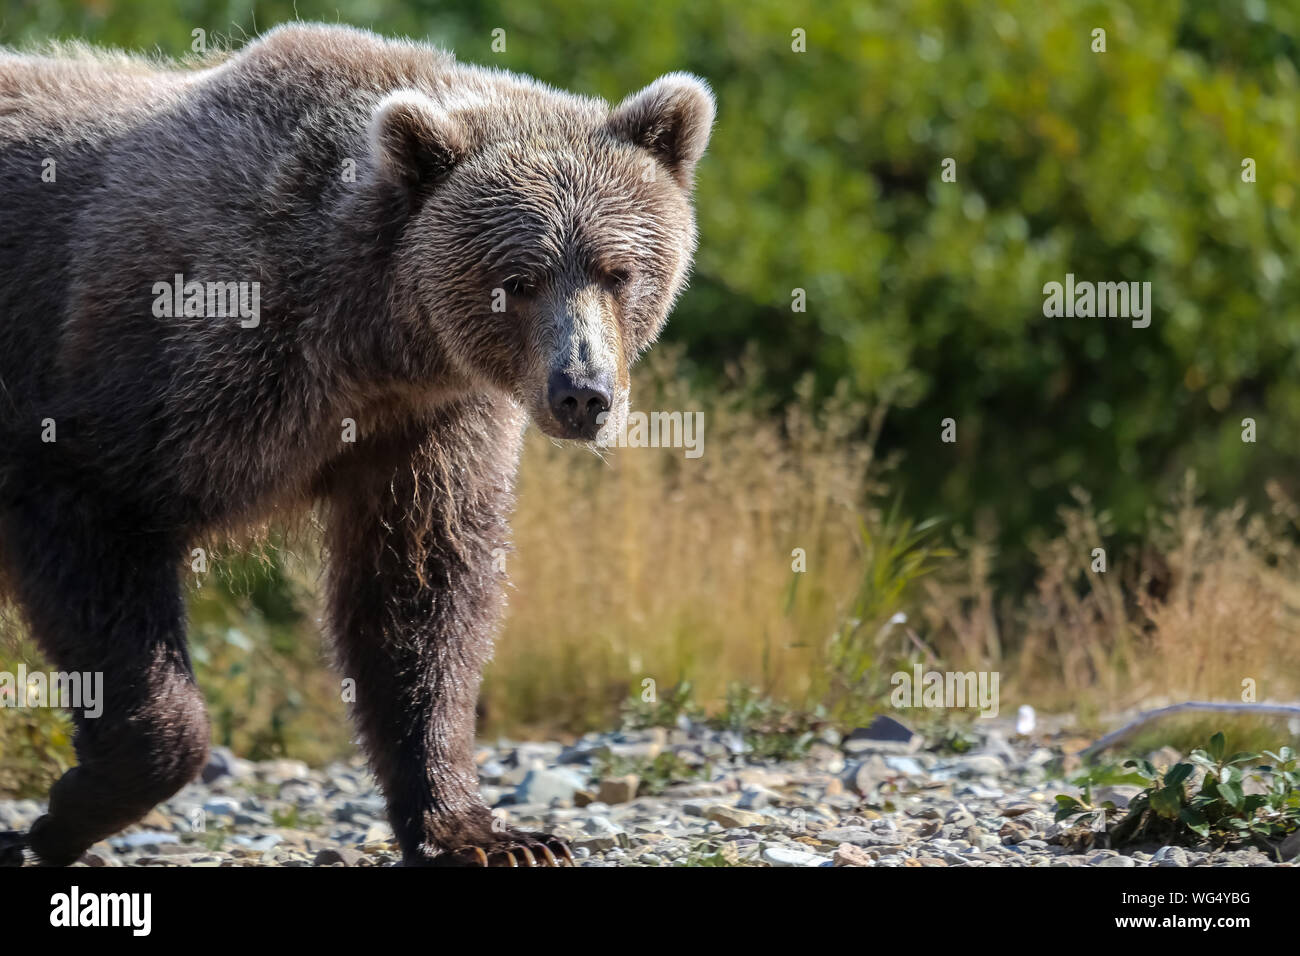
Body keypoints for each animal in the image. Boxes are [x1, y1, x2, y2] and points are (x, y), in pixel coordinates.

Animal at [0, 22, 712, 868]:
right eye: (518, 279)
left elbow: (417, 595)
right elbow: (90, 521)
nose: (582, 392)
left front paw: (487, 833)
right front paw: (68, 810)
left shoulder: (426, 426)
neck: (372, 344)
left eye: (618, 270)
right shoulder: (166, 363)